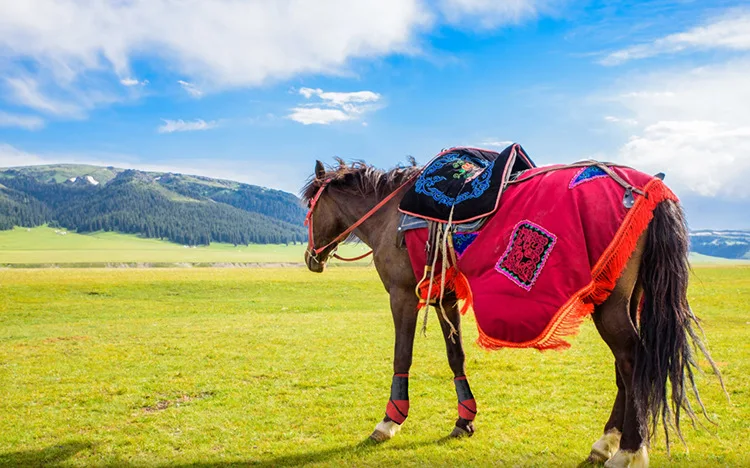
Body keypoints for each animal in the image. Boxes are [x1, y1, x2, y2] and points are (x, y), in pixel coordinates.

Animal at [301, 158, 723, 468]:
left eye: (309, 207)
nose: (311, 259)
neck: (390, 212)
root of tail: (652, 189)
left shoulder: (403, 294)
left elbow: (401, 355)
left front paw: (389, 422)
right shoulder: (446, 297)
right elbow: (456, 356)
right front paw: (465, 419)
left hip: (611, 303)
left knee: (634, 360)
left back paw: (629, 451)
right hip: (626, 298)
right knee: (625, 366)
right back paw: (605, 443)